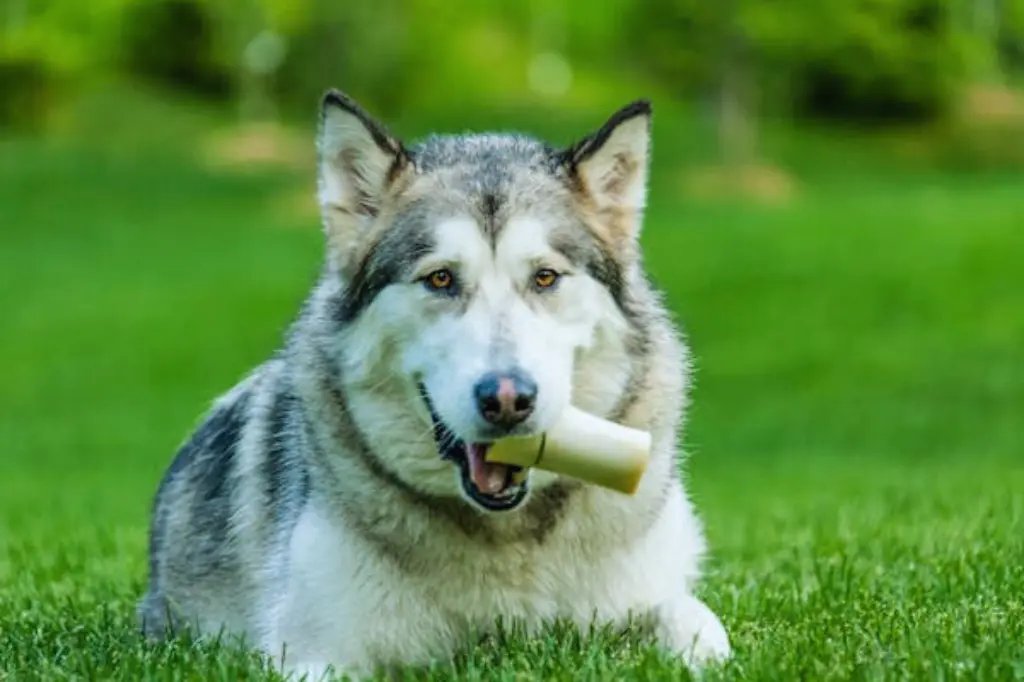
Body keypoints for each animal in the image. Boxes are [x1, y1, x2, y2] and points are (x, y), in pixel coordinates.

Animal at [138, 89, 729, 675]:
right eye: (440, 278)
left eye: (545, 277)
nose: (507, 400)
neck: (506, 536)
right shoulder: (313, 652)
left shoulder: (654, 593)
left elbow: (697, 625)